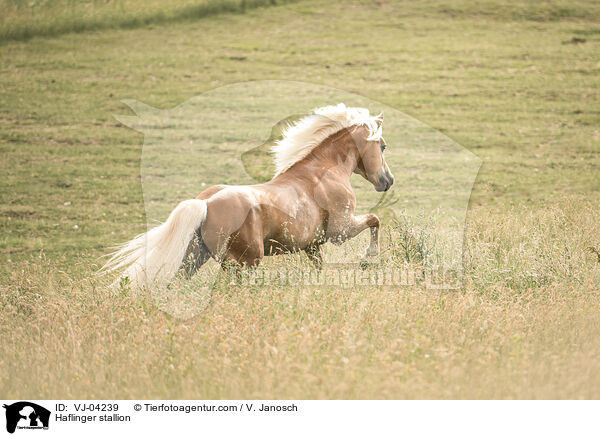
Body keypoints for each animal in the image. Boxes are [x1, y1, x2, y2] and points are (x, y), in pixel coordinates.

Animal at [102, 103, 394, 288]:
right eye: (382, 146)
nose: (388, 181)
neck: (323, 172)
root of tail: (204, 203)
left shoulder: (312, 246)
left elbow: (319, 268)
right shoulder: (340, 231)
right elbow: (375, 219)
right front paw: (369, 258)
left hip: (194, 258)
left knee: (176, 283)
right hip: (244, 262)